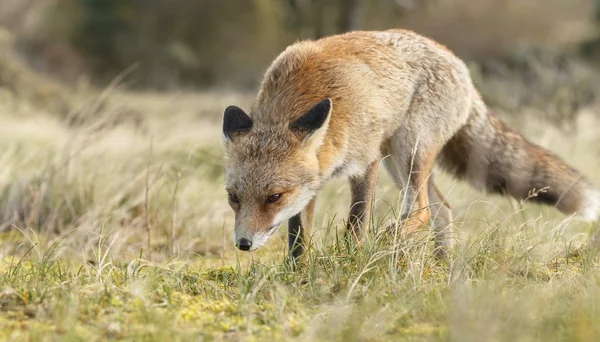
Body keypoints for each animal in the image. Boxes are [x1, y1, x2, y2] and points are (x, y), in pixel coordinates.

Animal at [221, 29, 600, 260]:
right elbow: (298, 238)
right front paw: (295, 275)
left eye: (274, 197)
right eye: (233, 198)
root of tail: (457, 61)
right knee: (442, 209)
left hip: (409, 150)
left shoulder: (366, 161)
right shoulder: (314, 181)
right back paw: (442, 267)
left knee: (421, 210)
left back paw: (389, 242)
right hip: (400, 161)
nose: (243, 244)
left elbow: (356, 223)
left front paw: (351, 258)